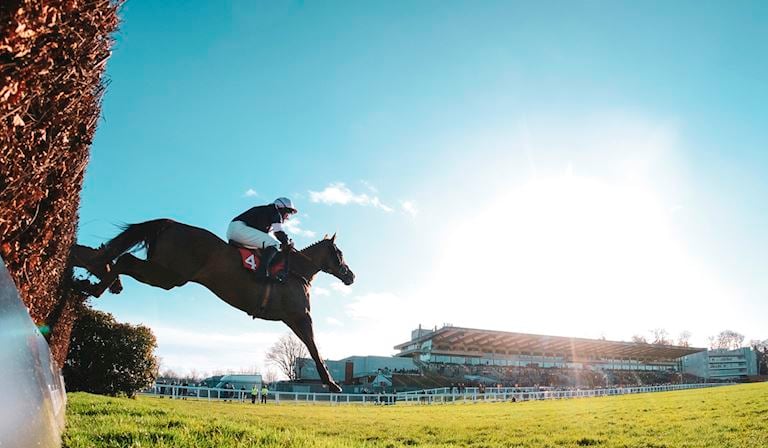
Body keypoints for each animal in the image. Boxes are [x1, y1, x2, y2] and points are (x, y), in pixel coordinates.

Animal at [70, 220, 352, 392]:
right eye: (339, 254)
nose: (350, 275)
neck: (297, 271)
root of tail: (170, 224)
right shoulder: (299, 316)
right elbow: (313, 347)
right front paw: (331, 383)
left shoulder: (291, 318)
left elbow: (310, 346)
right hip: (169, 276)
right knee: (125, 260)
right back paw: (96, 284)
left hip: (164, 273)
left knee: (118, 259)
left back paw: (92, 280)